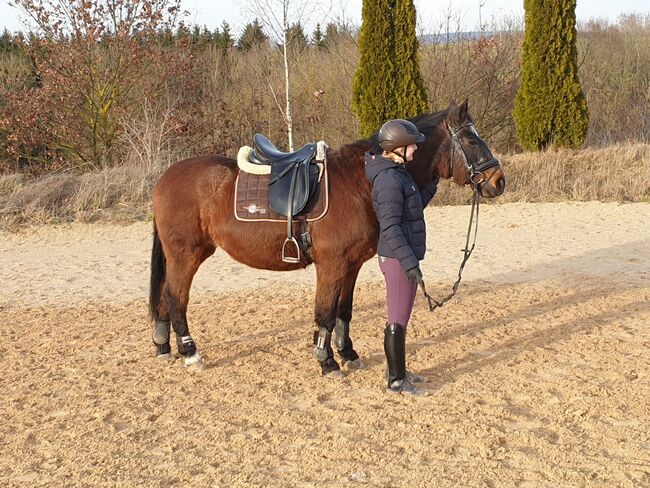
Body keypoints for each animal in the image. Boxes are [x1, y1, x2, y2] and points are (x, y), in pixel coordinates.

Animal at [149, 97, 504, 376]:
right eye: (472, 142)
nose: (498, 180)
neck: (361, 182)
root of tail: (164, 178)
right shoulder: (332, 265)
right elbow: (325, 312)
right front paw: (326, 360)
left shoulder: (352, 265)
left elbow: (343, 311)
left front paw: (348, 353)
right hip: (187, 254)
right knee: (175, 296)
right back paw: (189, 352)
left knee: (165, 297)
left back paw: (163, 345)